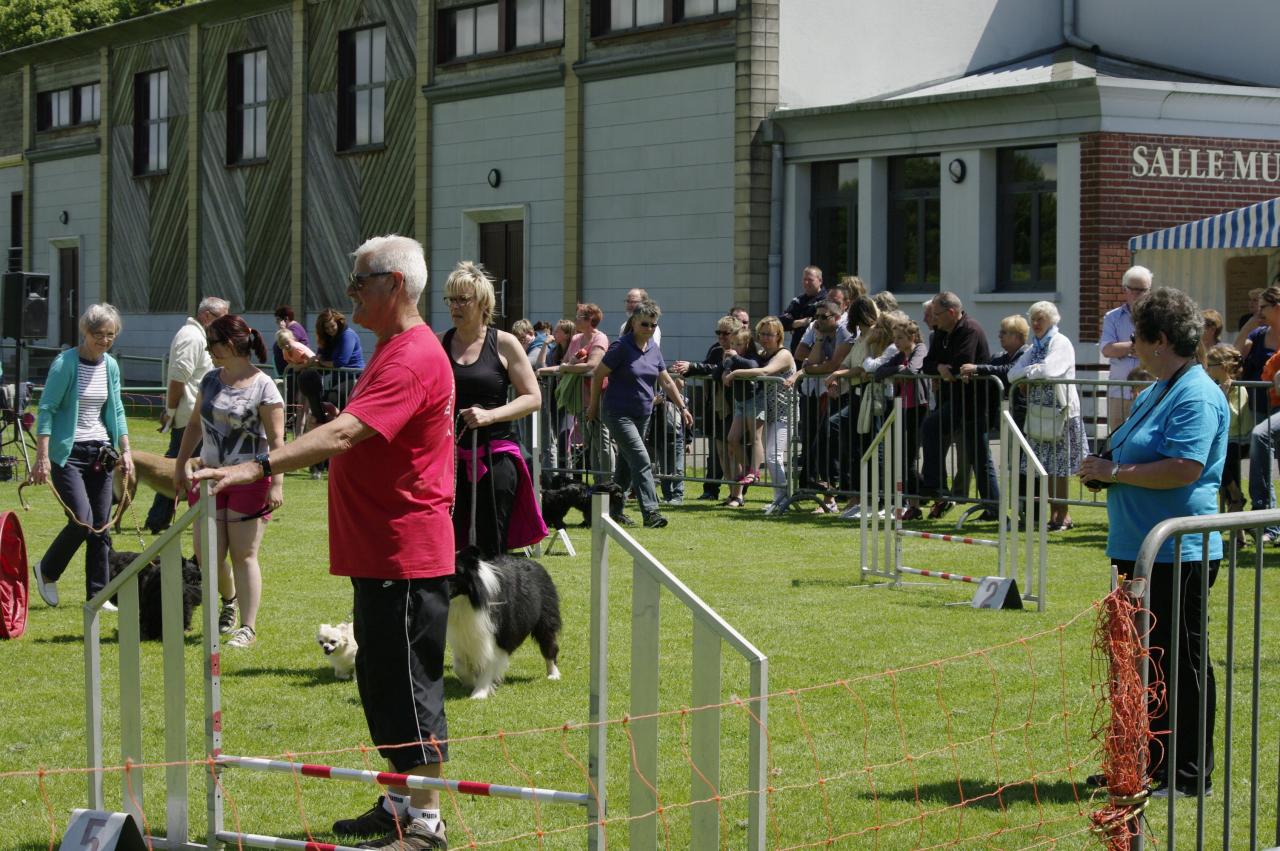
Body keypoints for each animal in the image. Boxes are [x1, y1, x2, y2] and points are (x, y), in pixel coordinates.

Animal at [448, 545, 563, 696]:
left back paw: (553, 674)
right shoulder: (462, 635)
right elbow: (459, 666)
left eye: (454, 574)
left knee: (549, 644)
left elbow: (488, 662)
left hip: (545, 618)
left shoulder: (496, 635)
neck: (468, 599)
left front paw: (480, 693)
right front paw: (471, 682)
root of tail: (536, 563)